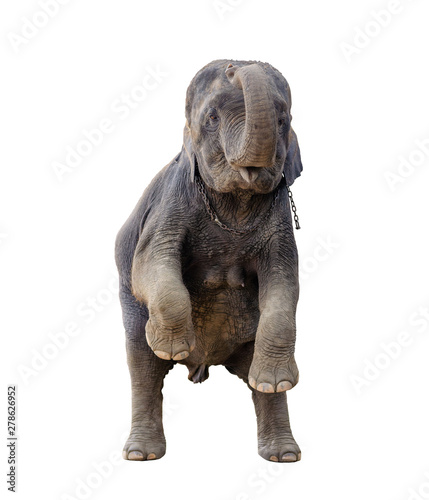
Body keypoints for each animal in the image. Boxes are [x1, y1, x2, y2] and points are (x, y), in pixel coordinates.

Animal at [115, 59, 302, 464]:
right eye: (212, 118)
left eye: (283, 119)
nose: (236, 65)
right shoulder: (171, 203)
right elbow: (150, 262)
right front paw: (170, 346)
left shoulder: (280, 220)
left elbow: (285, 283)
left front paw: (276, 381)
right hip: (130, 309)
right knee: (142, 366)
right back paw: (141, 454)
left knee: (259, 388)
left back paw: (282, 450)